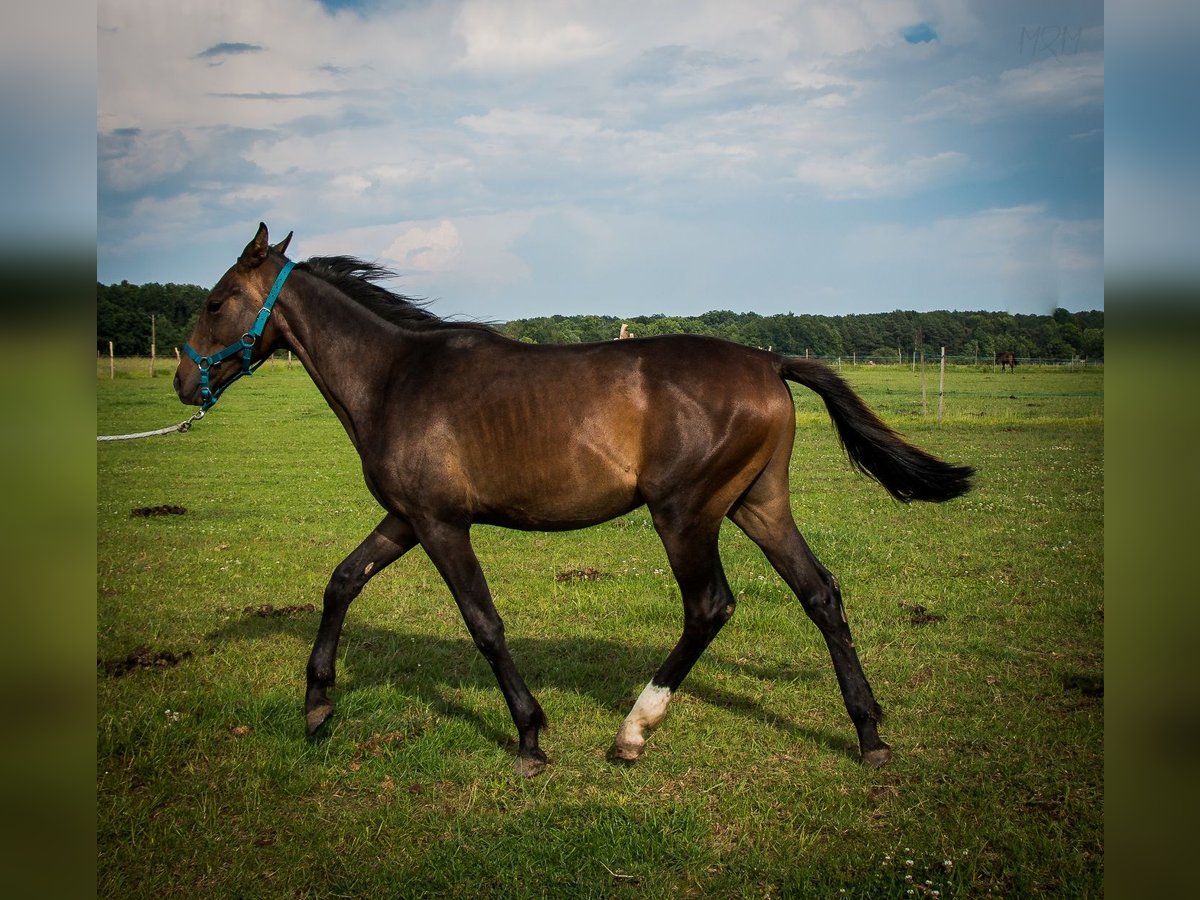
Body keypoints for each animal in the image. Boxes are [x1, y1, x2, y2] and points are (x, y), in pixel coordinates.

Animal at [171, 224, 974, 777]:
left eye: (215, 301)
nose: (182, 382)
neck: (397, 376)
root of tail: (769, 360)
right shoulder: (405, 518)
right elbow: (341, 581)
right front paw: (317, 705)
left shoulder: (441, 524)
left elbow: (484, 624)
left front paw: (530, 737)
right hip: (759, 505)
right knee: (821, 594)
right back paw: (868, 734)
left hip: (685, 516)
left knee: (710, 607)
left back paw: (633, 731)